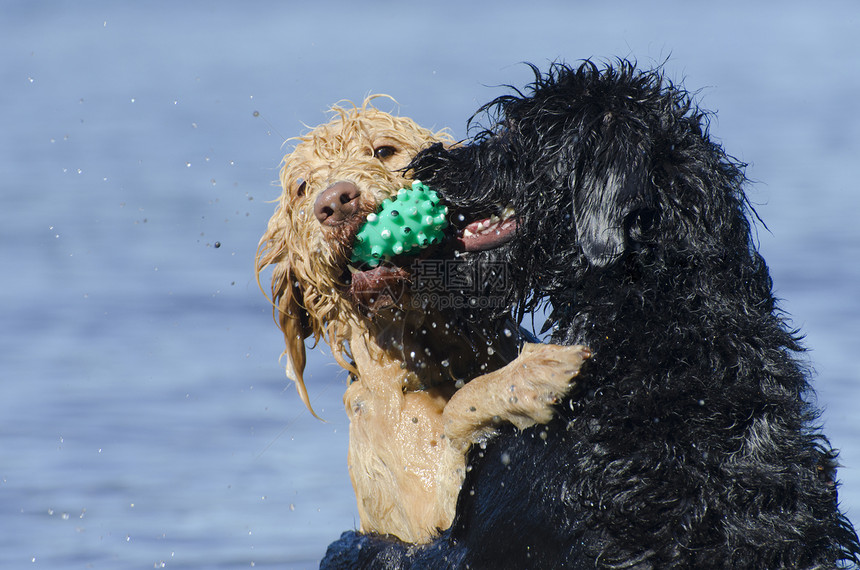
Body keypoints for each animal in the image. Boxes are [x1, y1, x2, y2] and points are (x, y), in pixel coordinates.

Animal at [255, 98, 592, 540]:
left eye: (383, 150)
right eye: (301, 187)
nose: (334, 202)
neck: (432, 355)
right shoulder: (432, 520)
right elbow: (456, 412)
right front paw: (534, 373)